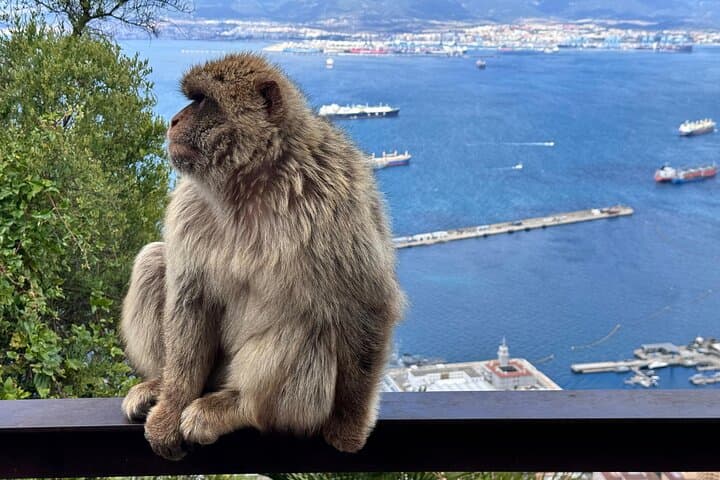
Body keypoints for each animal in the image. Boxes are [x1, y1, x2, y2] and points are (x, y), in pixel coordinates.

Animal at [119, 53, 404, 461]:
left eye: (203, 101)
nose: (173, 120)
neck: (251, 183)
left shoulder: (335, 198)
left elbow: (367, 302)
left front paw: (349, 425)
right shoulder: (189, 204)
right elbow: (191, 297)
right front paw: (170, 406)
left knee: (312, 316)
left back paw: (238, 407)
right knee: (153, 260)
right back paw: (159, 384)